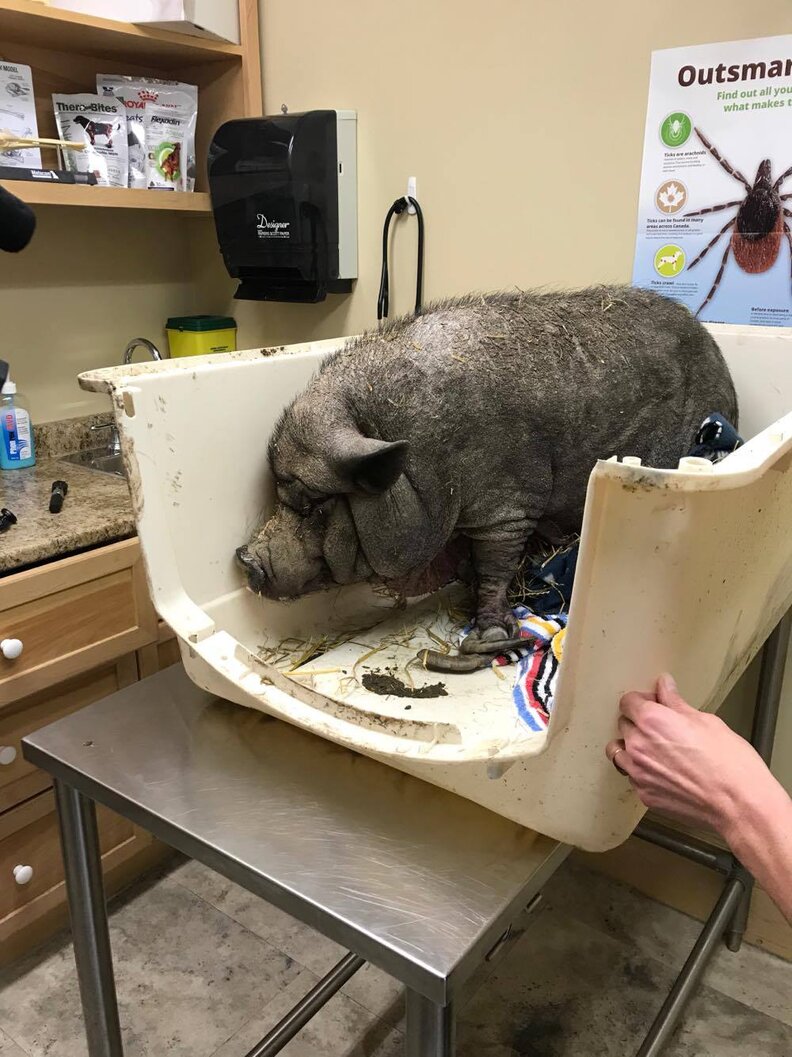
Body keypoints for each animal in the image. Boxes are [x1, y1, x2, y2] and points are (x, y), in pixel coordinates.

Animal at [236, 286, 737, 653]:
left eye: (313, 504)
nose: (244, 559)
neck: (423, 464)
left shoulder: (508, 500)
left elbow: (495, 563)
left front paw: (489, 637)